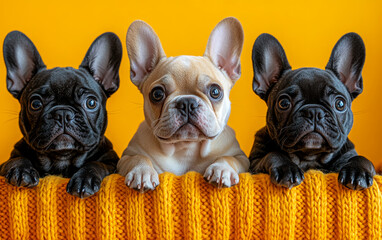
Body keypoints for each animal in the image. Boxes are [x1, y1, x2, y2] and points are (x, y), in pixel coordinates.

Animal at [118, 17, 249, 191]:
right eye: (157, 94)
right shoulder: (127, 156)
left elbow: (228, 158)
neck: (186, 148)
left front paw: (222, 169)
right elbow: (138, 157)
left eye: (215, 91)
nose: (187, 102)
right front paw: (142, 172)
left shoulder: (240, 157)